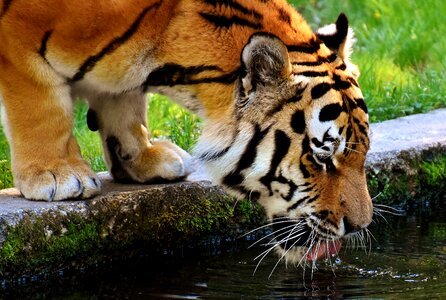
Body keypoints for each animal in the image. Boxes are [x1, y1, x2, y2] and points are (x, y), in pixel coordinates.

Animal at [0, 0, 372, 262]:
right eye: (321, 158)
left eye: (364, 153)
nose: (361, 226)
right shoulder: (18, 39)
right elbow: (42, 109)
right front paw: (58, 175)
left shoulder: (125, 84)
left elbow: (124, 100)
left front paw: (143, 159)